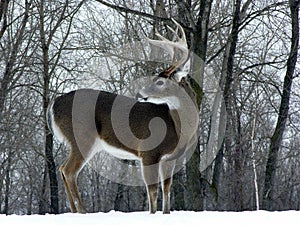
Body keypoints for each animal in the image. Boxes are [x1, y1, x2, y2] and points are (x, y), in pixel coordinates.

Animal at [47, 19, 199, 214]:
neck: (178, 126)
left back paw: (74, 211)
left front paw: (166, 213)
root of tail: (54, 103)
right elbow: (152, 191)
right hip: (82, 136)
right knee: (69, 171)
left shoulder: (169, 158)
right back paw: (82, 210)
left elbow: (166, 188)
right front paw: (152, 213)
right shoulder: (148, 152)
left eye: (159, 81)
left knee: (62, 168)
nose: (140, 93)